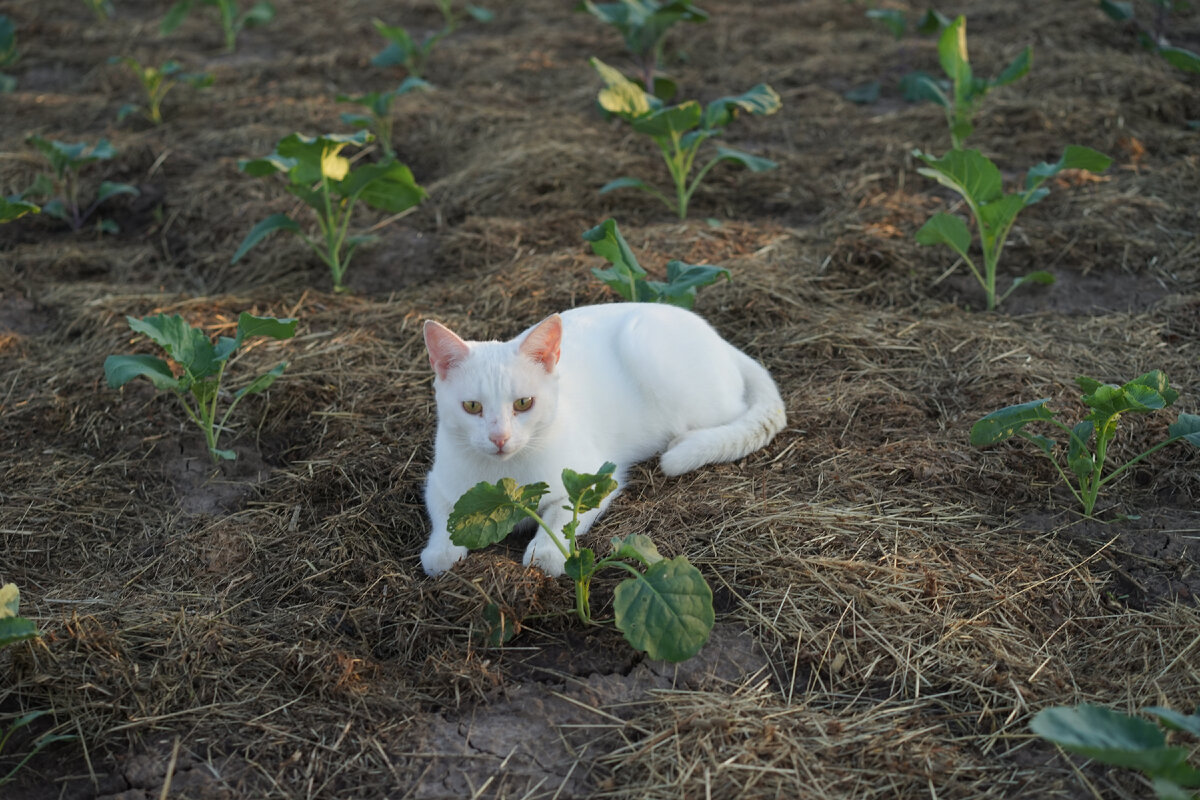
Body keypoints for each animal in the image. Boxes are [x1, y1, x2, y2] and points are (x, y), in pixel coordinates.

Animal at [420, 303, 787, 578]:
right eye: (472, 407)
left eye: (524, 403)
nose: (499, 437)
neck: (507, 475)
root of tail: (720, 339)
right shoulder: (439, 481)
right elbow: (445, 518)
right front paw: (441, 551)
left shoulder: (592, 479)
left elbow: (562, 518)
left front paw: (546, 552)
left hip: (653, 355)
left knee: (739, 412)